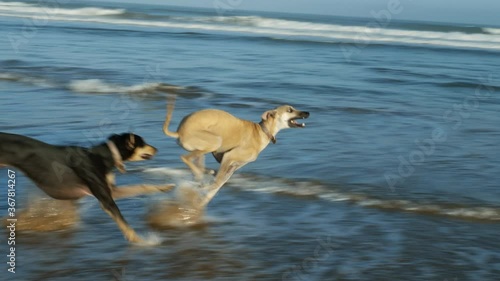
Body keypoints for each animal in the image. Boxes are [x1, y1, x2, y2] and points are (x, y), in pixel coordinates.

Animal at [0, 132, 175, 242]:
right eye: (143, 143)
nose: (157, 149)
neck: (104, 156)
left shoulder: (112, 192)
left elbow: (141, 186)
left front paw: (165, 187)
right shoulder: (106, 200)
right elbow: (123, 222)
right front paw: (140, 241)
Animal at [162, 95, 308, 207]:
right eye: (290, 109)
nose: (307, 113)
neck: (262, 131)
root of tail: (179, 131)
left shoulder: (233, 166)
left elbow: (219, 183)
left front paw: (204, 198)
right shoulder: (228, 157)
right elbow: (217, 182)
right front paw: (204, 191)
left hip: (204, 150)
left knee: (197, 162)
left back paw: (202, 174)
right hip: (215, 141)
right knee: (185, 157)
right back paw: (199, 175)